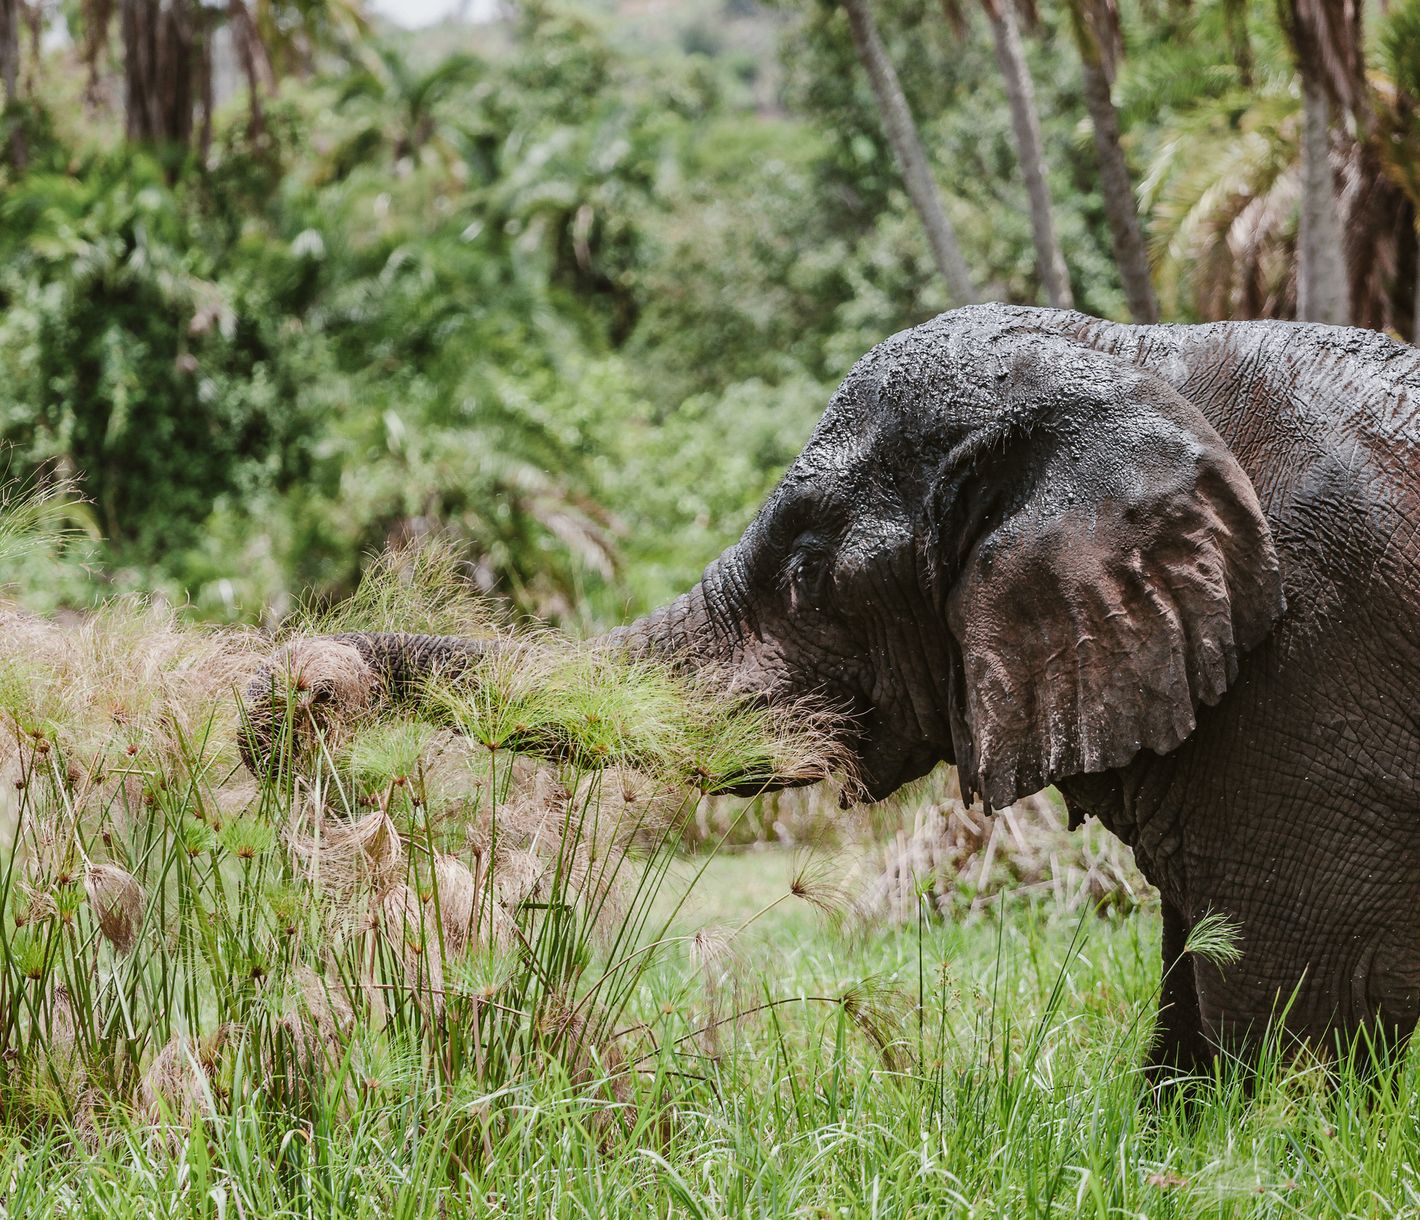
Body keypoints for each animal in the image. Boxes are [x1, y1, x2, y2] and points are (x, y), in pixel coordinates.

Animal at [247, 303, 1420, 1078]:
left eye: (811, 575)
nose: (300, 695)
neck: (1141, 354)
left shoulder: (1310, 674)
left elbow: (1276, 1010)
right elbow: (1191, 992)